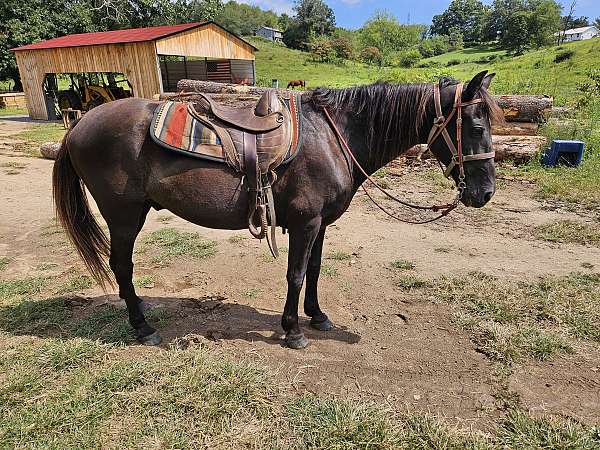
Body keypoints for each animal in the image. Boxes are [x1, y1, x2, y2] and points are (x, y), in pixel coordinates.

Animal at [52, 72, 502, 350]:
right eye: (477, 128)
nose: (485, 193)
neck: (333, 136)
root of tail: (78, 127)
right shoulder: (305, 223)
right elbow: (296, 274)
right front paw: (293, 331)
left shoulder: (321, 224)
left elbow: (315, 271)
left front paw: (317, 317)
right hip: (124, 216)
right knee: (121, 265)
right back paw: (143, 327)